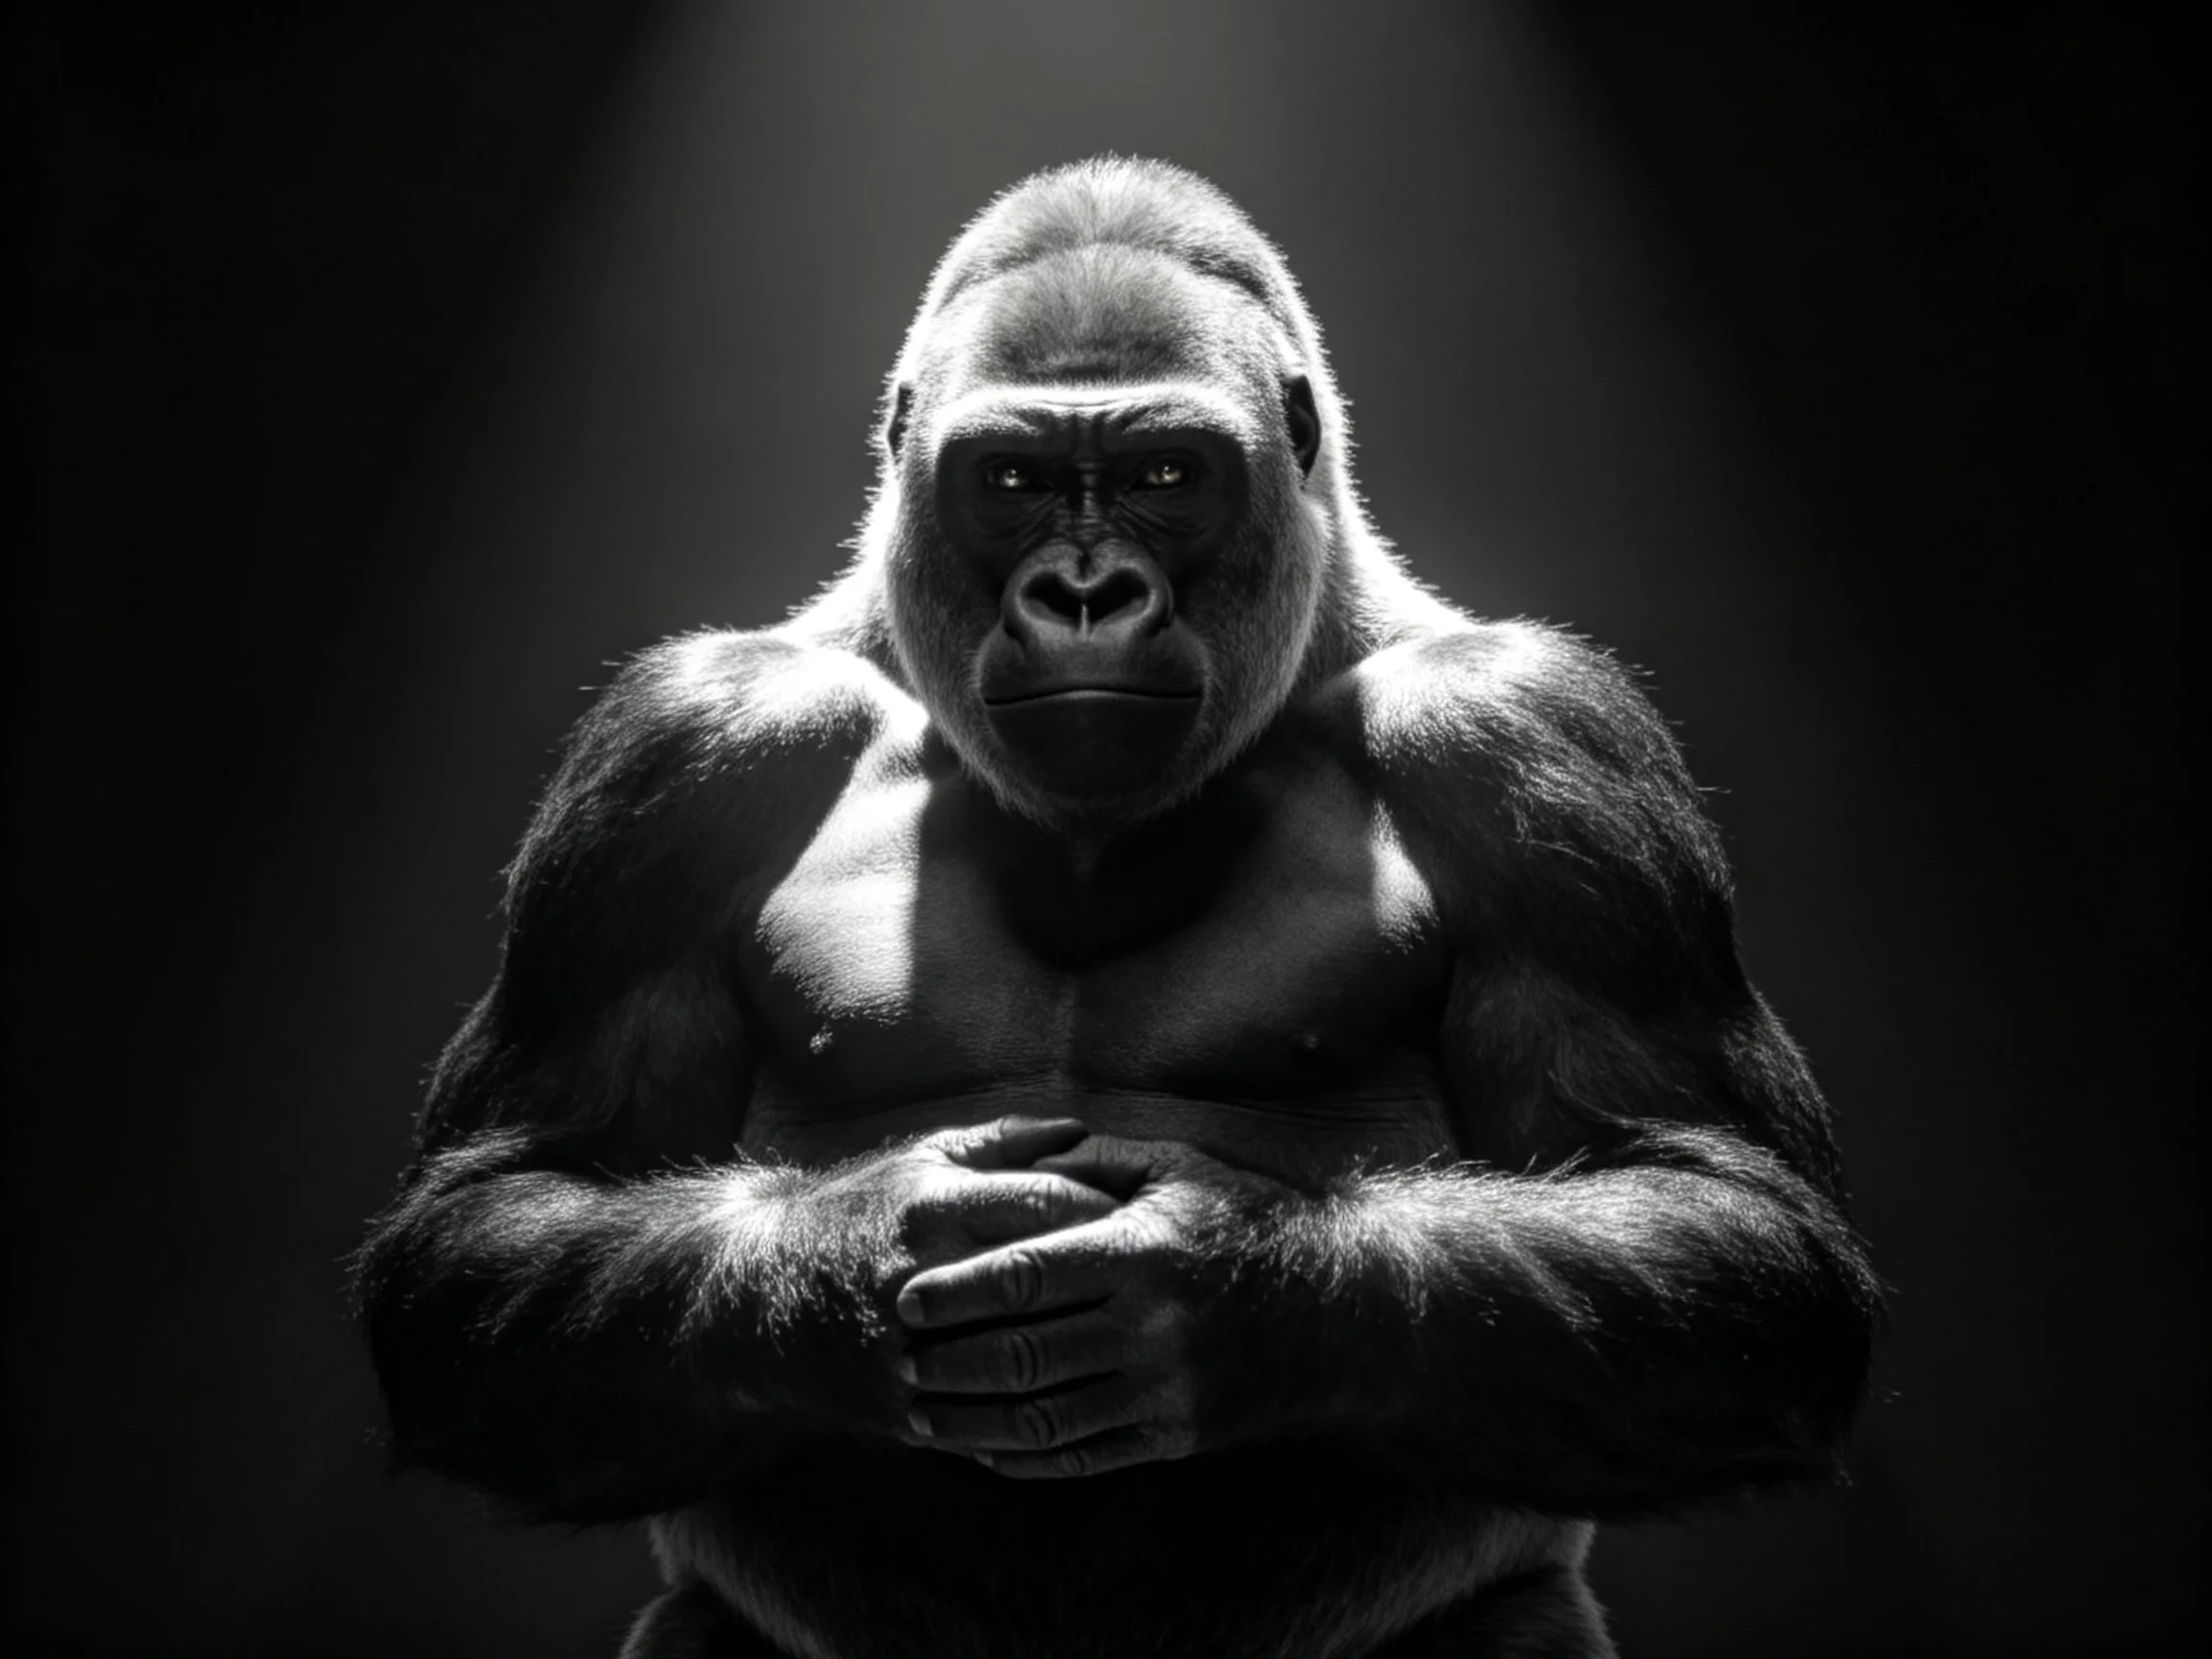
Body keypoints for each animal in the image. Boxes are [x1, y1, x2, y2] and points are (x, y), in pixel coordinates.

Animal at [356, 157, 1881, 1659]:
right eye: (1012, 479)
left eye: (1164, 475)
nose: (1085, 594)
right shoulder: (685, 752)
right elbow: (509, 1201)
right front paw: (850, 1264)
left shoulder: (1538, 738)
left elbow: (1712, 1202)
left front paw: (1233, 1293)